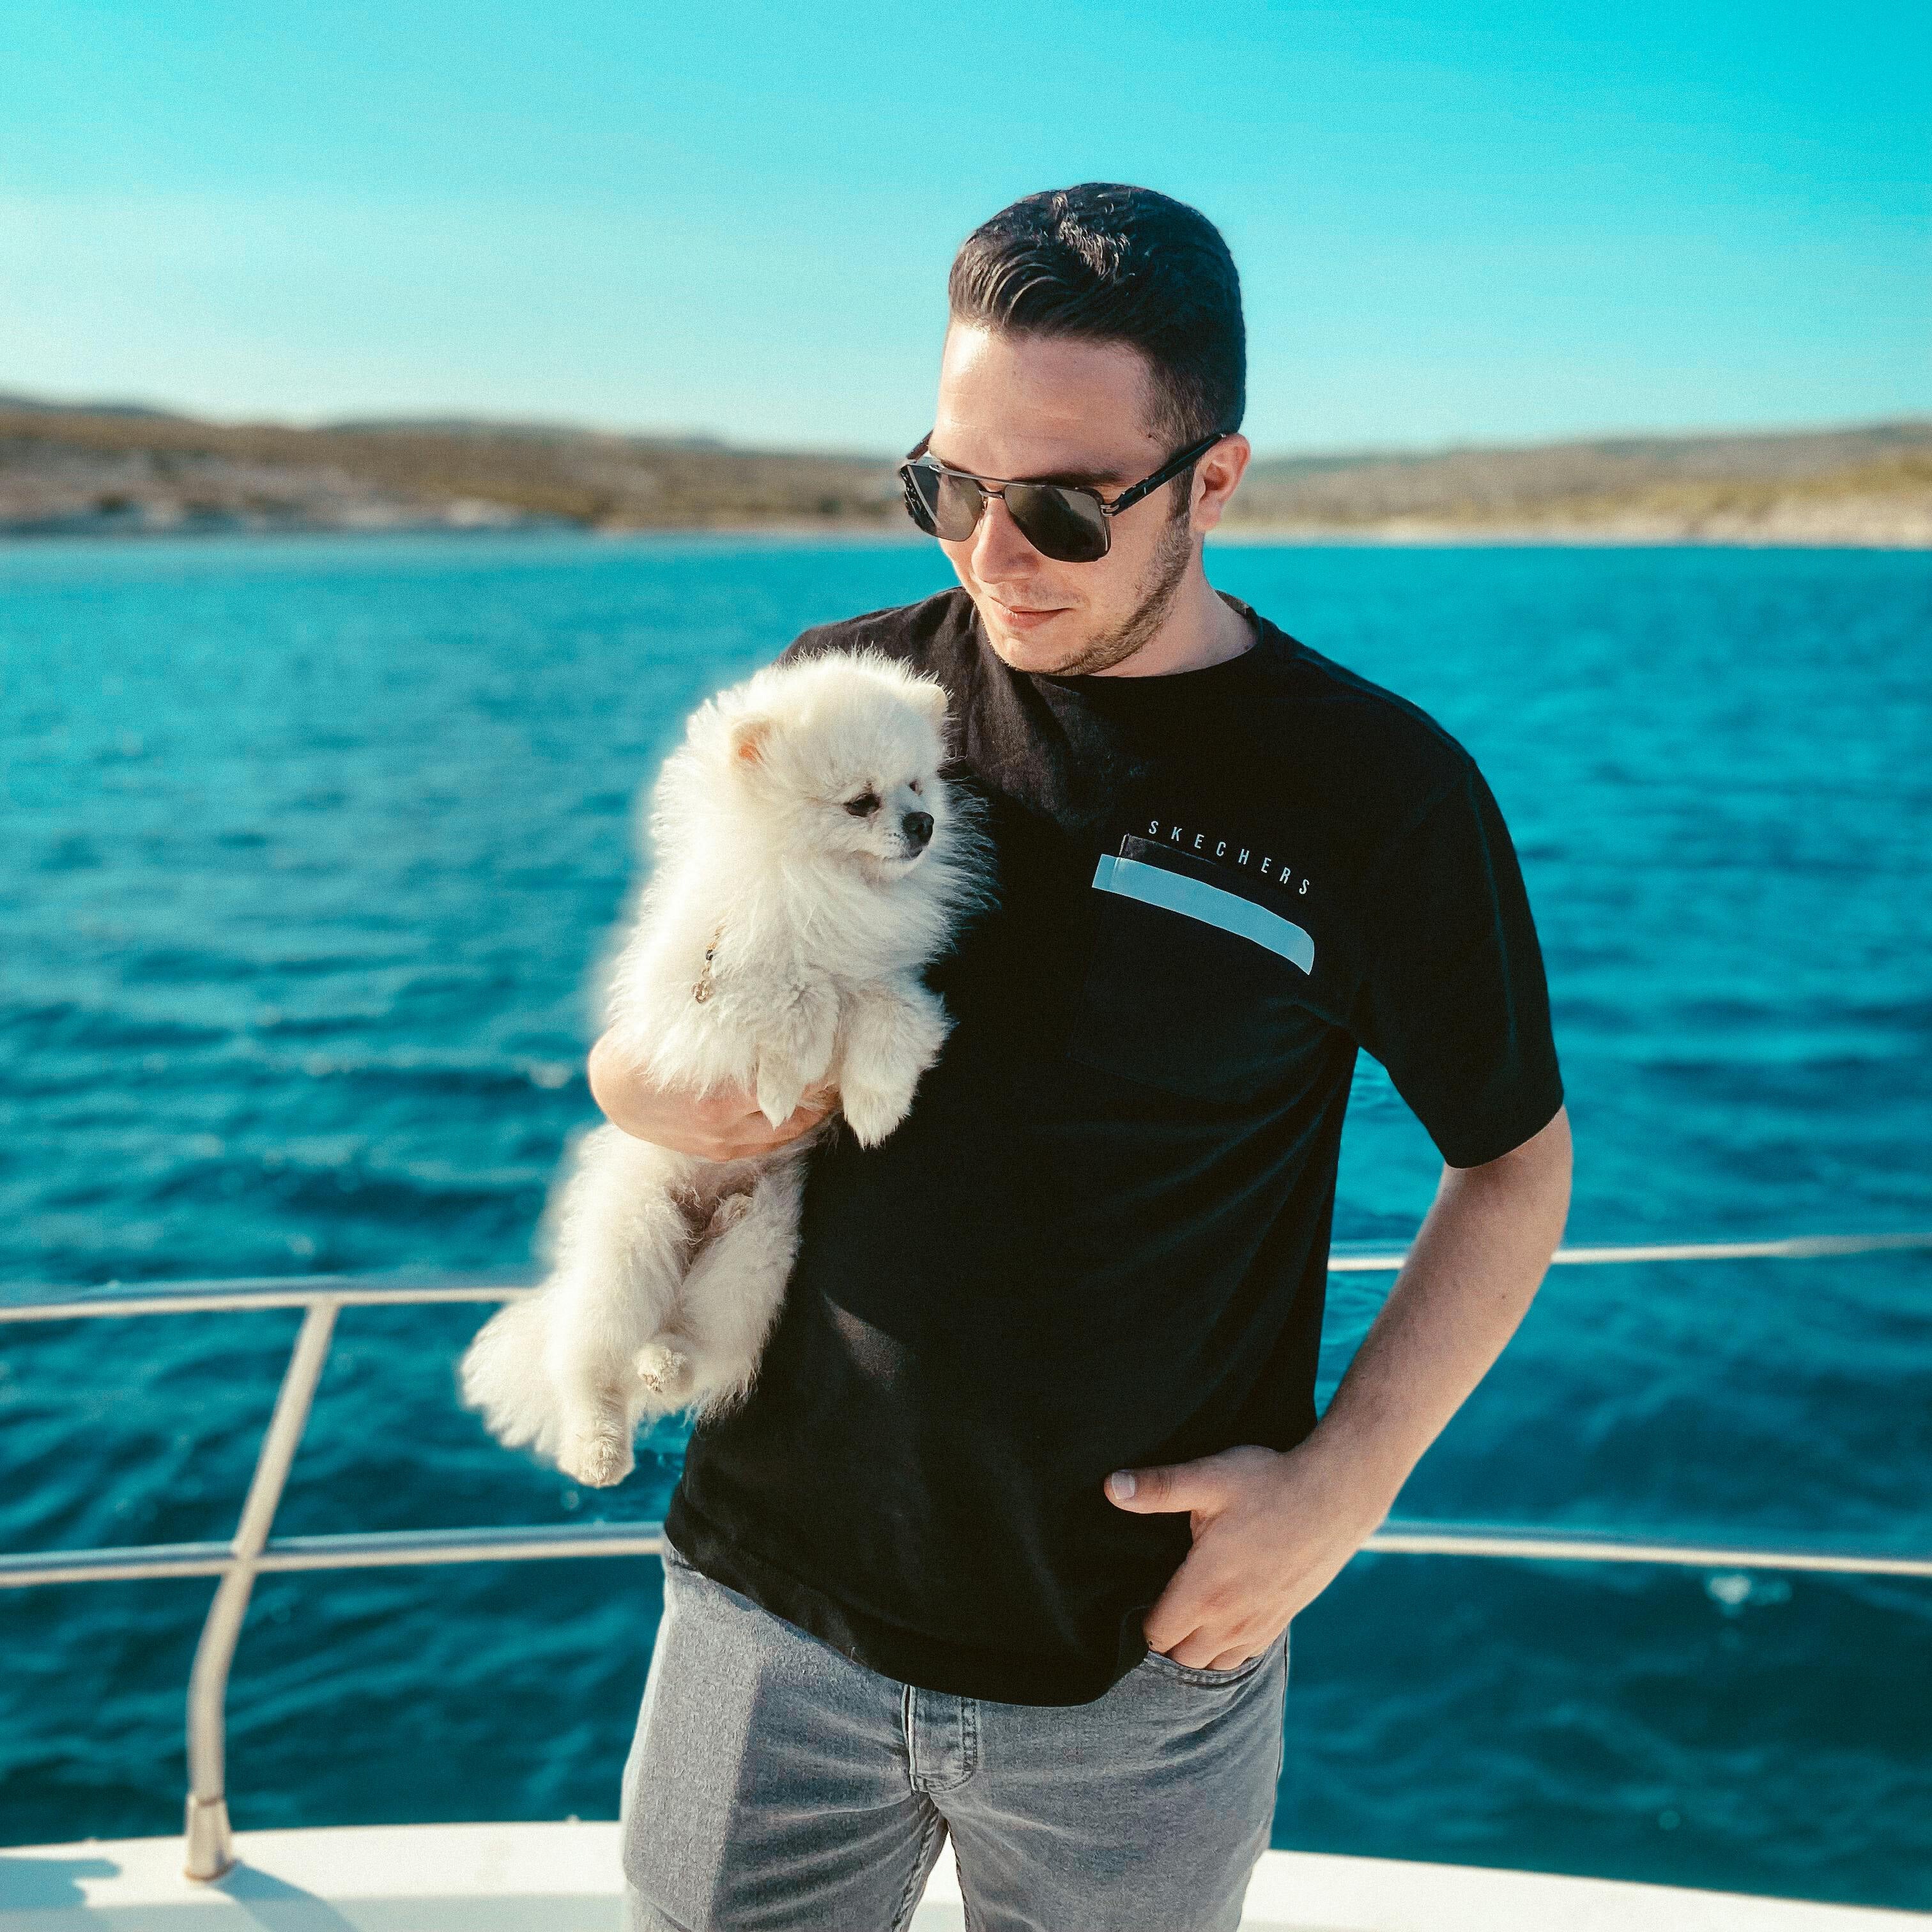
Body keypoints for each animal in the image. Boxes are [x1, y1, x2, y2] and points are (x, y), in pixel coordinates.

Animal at [459, 657, 989, 1483]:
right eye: (861, 801)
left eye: (919, 786)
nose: (924, 825)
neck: (821, 889)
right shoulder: (692, 995)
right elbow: (789, 992)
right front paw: (788, 1070)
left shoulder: (889, 979)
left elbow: (886, 1013)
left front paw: (877, 1105)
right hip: (630, 1243)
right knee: (586, 1366)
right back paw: (597, 1447)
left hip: (754, 1256)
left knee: (695, 1348)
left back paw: (665, 1366)